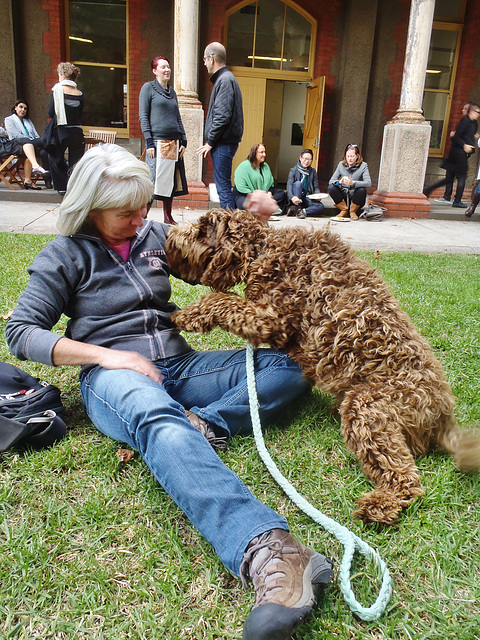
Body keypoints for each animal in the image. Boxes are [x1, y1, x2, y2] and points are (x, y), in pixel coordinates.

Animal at [166, 208, 480, 524]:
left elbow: (223, 301)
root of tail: (443, 416)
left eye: (201, 229)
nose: (169, 235)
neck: (264, 250)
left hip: (368, 407)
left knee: (405, 477)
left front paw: (188, 315)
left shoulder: (272, 320)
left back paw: (380, 505)